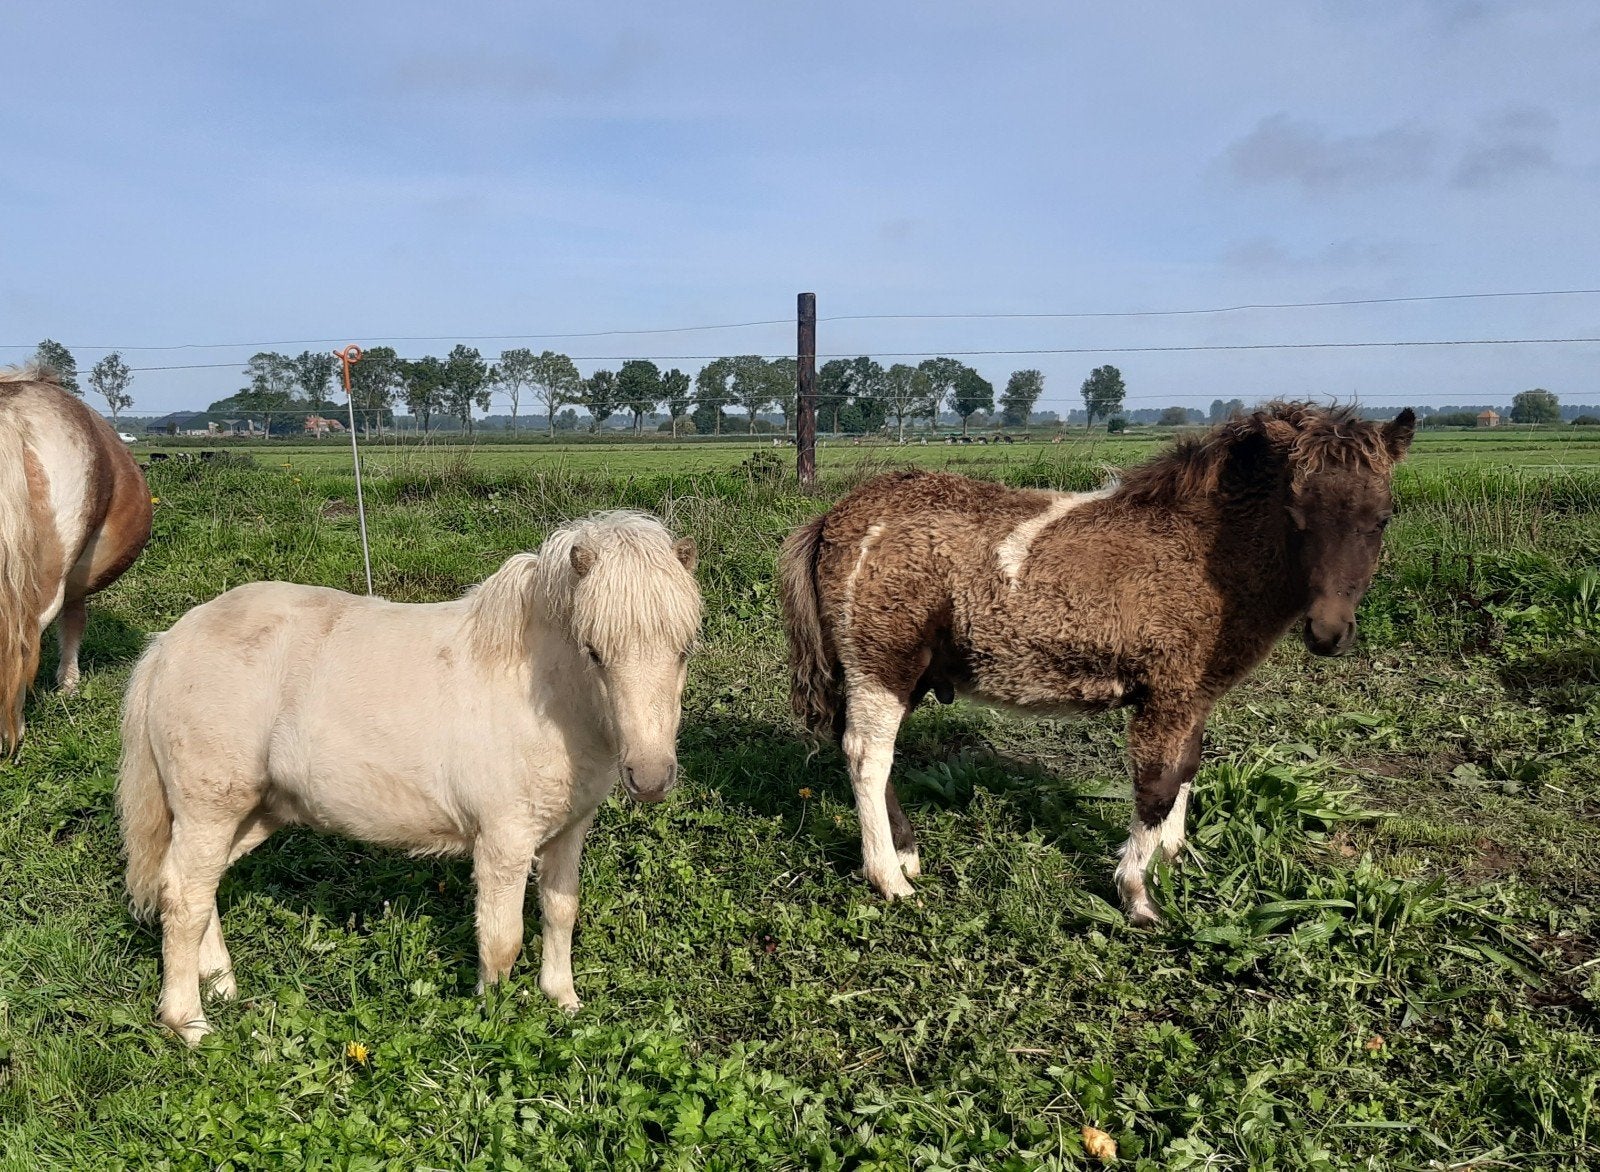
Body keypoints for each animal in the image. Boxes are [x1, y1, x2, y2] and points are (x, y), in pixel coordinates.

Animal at [118, 510, 702, 1043]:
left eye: (683, 649)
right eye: (594, 651)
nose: (650, 777)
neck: (542, 694)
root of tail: (168, 643)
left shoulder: (568, 830)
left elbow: (560, 912)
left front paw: (564, 1001)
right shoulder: (504, 842)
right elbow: (502, 939)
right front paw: (495, 1022)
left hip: (254, 812)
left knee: (197, 887)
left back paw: (220, 985)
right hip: (209, 811)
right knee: (183, 896)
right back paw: (190, 1022)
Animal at [780, 402, 1414, 922]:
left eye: (1383, 517)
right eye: (1296, 513)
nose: (1329, 632)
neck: (1202, 553)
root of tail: (835, 519)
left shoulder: (1195, 693)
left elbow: (1187, 769)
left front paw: (1171, 860)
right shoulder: (1167, 691)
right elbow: (1157, 784)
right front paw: (1140, 896)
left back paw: (908, 854)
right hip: (881, 661)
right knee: (867, 755)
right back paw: (890, 879)